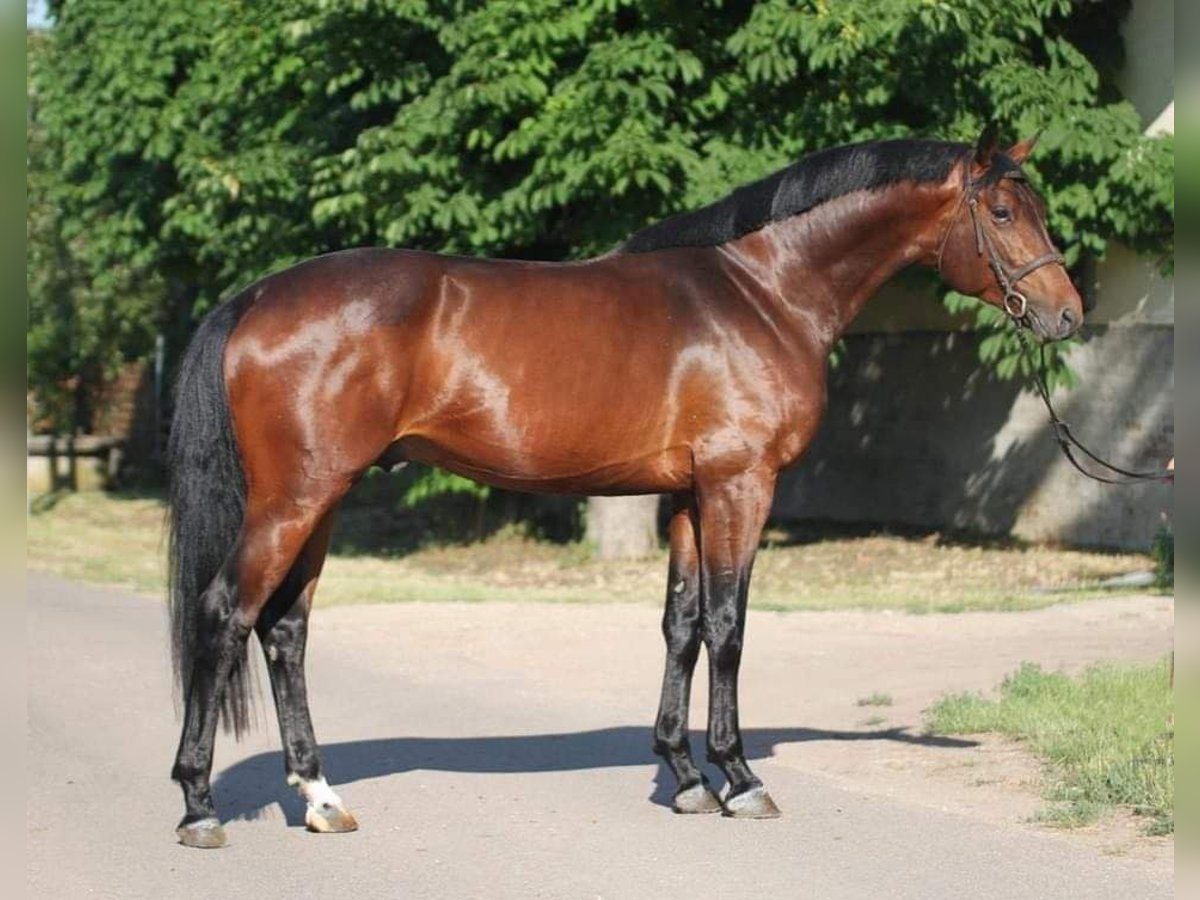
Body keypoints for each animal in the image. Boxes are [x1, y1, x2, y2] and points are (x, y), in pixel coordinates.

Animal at [166, 125, 1080, 844]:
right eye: (1003, 213)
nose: (1066, 314)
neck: (762, 291)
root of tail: (257, 296)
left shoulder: (687, 495)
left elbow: (680, 626)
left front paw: (685, 777)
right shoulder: (741, 485)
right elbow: (728, 627)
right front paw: (740, 778)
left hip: (321, 500)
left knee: (285, 632)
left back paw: (322, 799)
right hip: (296, 499)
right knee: (224, 615)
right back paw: (200, 805)